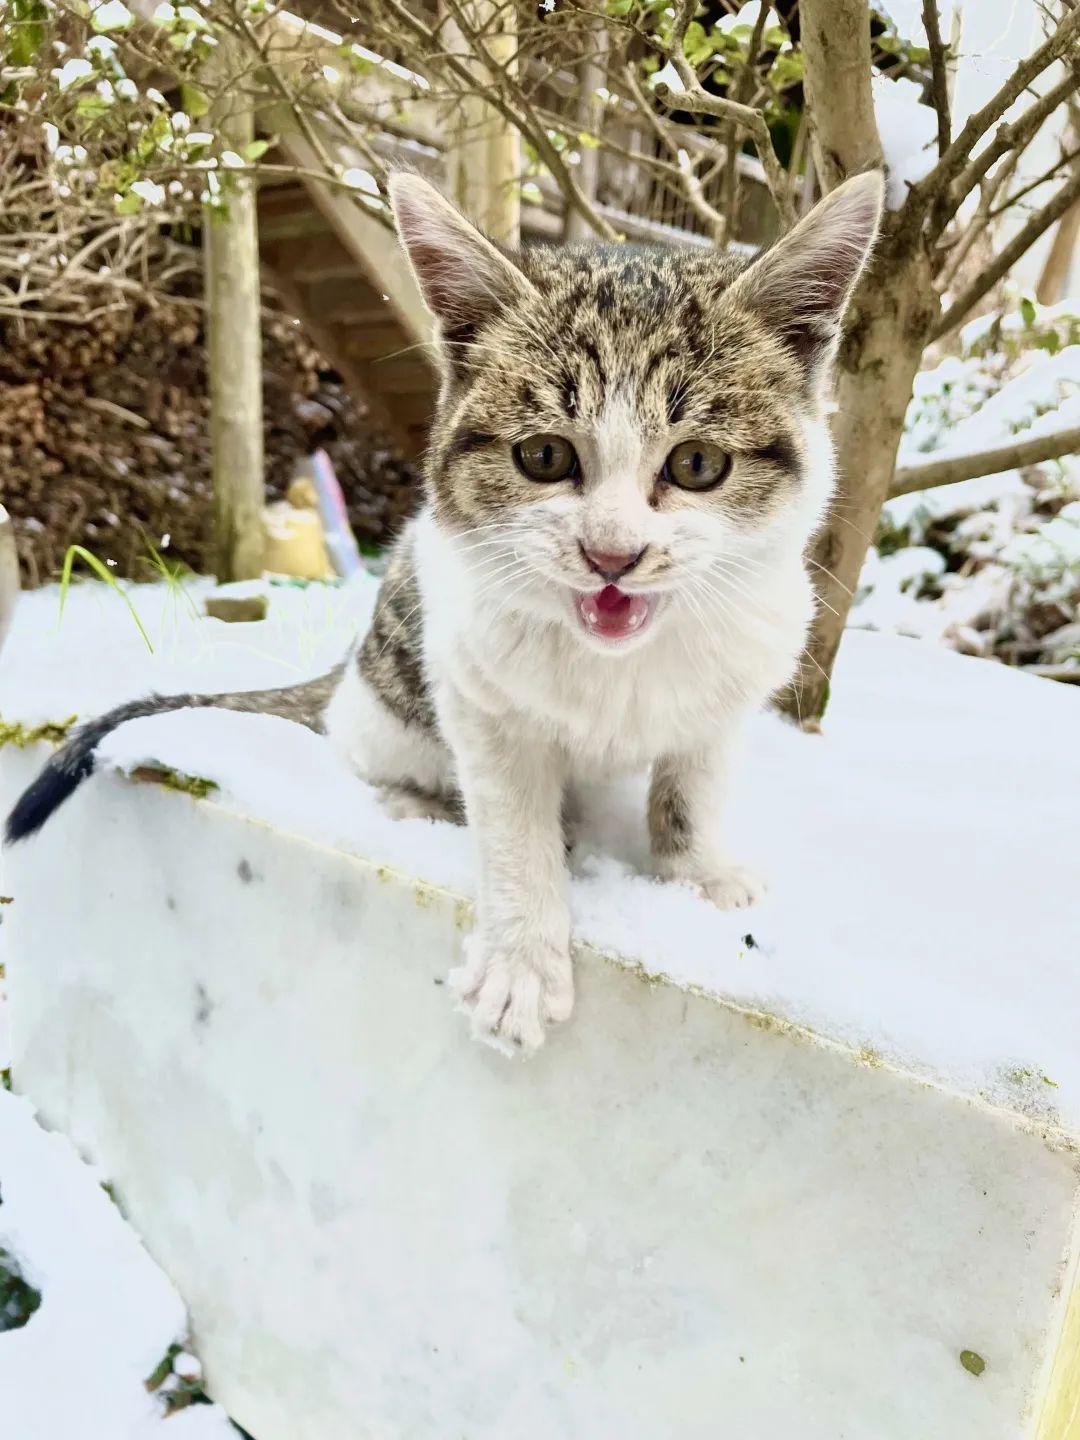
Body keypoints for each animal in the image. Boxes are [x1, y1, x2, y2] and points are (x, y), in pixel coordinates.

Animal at [6, 168, 887, 1054]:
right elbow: (512, 827)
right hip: (392, 692)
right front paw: (522, 962)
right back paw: (423, 806)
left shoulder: (736, 680)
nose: (612, 554)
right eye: (543, 456)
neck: (620, 662)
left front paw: (698, 876)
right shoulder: (478, 692)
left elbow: (693, 784)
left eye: (698, 463)